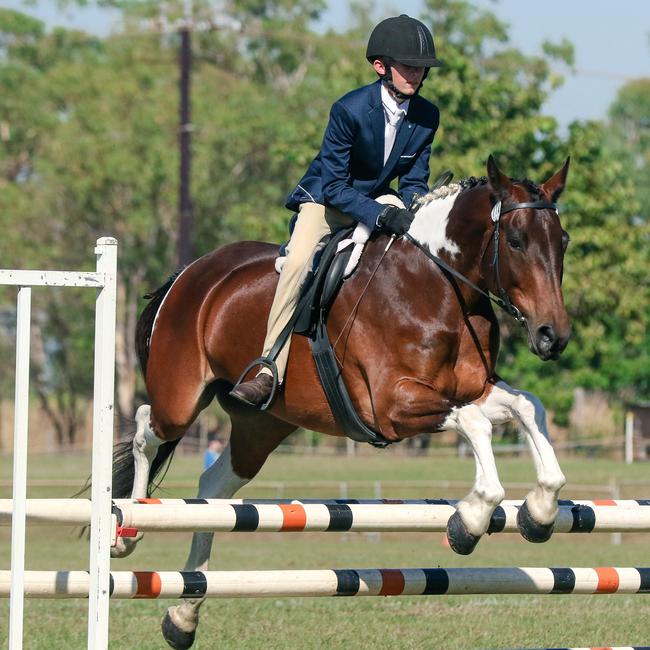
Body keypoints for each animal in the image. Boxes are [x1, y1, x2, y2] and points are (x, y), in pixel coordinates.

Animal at [114, 154, 568, 644]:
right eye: (517, 241)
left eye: (562, 241)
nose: (554, 337)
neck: (440, 286)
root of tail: (188, 274)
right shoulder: (391, 405)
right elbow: (475, 424)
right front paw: (471, 518)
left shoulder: (473, 390)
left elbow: (527, 406)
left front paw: (540, 510)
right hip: (181, 400)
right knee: (146, 428)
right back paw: (127, 530)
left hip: (263, 423)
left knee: (214, 484)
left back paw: (183, 615)